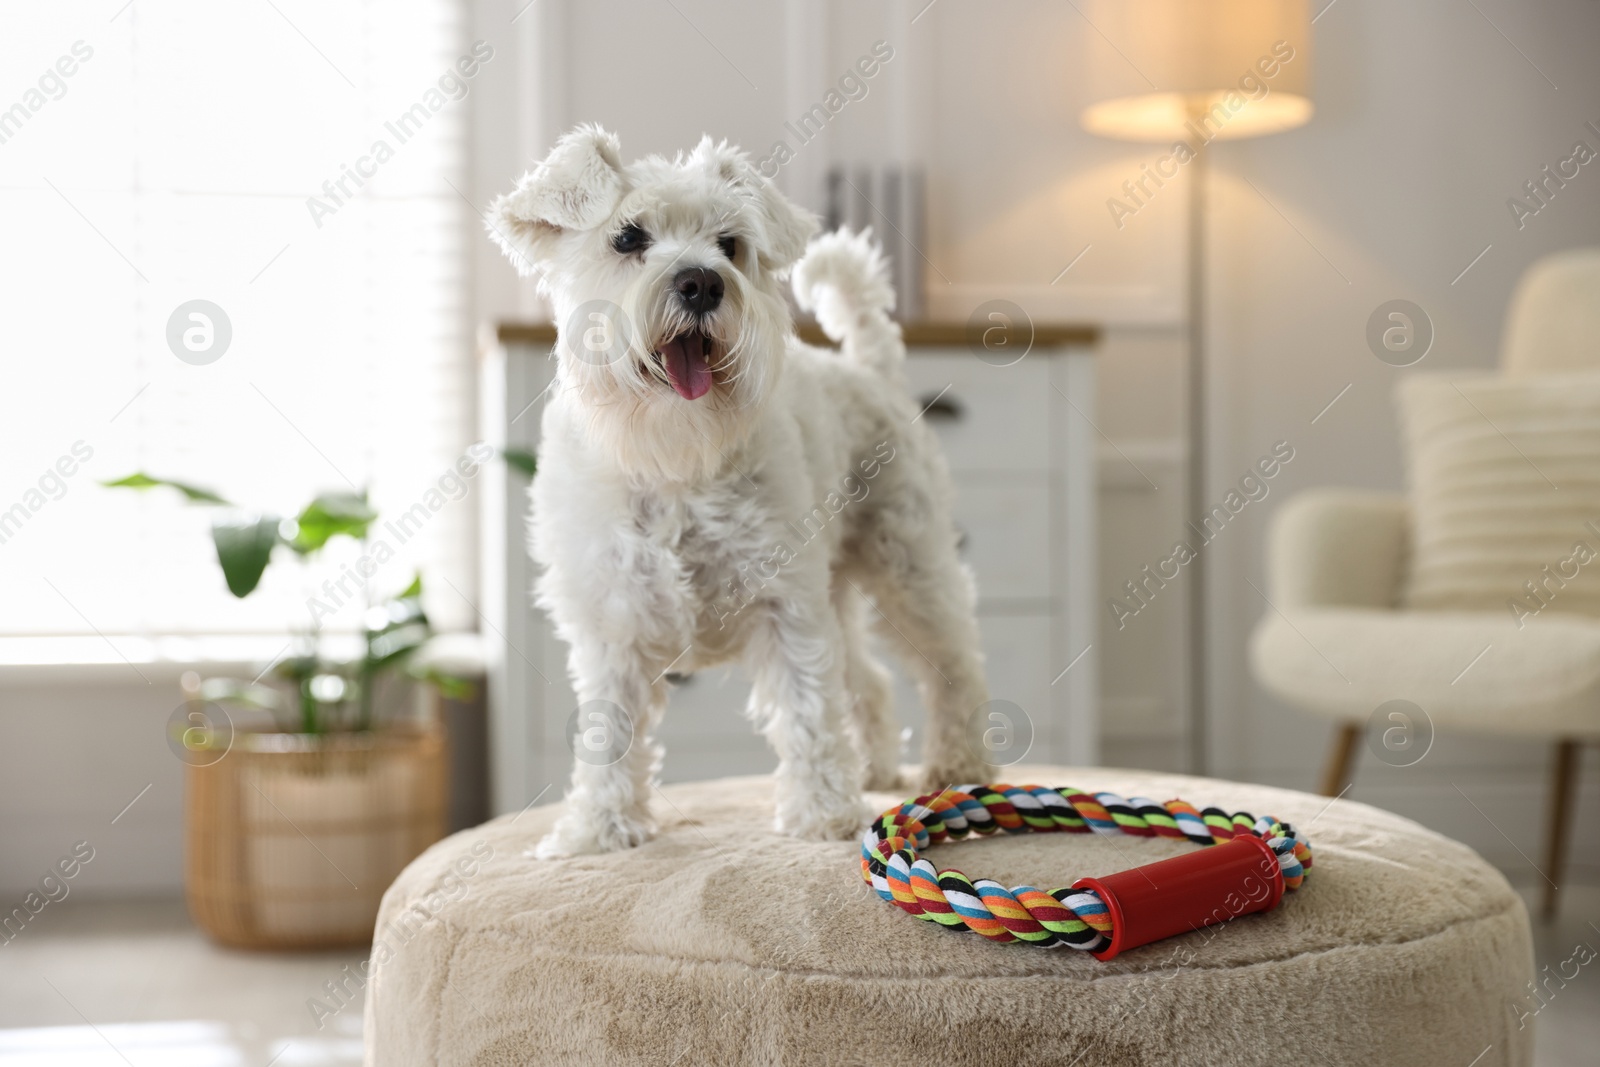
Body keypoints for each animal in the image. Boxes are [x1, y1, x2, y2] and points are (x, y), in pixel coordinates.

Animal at [483, 127, 985, 857]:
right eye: (627, 237)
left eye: (730, 244)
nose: (701, 282)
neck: (674, 462)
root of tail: (871, 370)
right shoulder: (612, 624)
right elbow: (609, 733)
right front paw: (599, 830)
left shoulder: (787, 605)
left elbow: (807, 709)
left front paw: (823, 814)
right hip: (840, 588)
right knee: (871, 681)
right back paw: (877, 769)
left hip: (910, 567)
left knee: (950, 666)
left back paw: (960, 764)